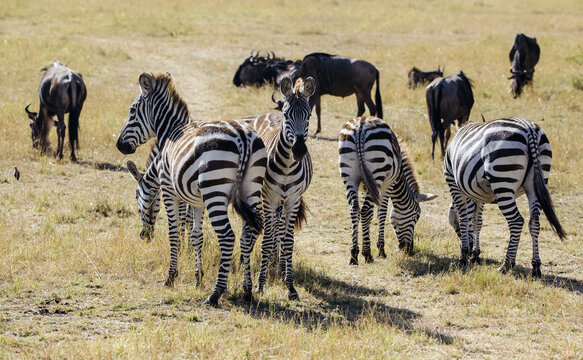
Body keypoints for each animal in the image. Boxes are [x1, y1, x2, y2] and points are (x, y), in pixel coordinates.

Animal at [117, 73, 268, 306]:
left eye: (132, 111)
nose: (119, 145)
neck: (169, 133)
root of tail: (244, 137)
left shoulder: (169, 190)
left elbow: (174, 232)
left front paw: (171, 277)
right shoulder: (197, 201)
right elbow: (197, 235)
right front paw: (198, 278)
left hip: (215, 192)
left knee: (227, 237)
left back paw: (215, 294)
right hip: (251, 190)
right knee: (248, 236)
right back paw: (247, 290)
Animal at [244, 76, 318, 300]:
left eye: (308, 115)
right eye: (287, 115)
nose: (299, 150)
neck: (286, 167)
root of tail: (270, 112)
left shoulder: (293, 201)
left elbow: (288, 242)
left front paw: (290, 286)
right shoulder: (269, 199)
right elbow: (267, 240)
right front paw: (260, 284)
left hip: (283, 202)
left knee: (281, 230)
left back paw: (279, 265)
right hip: (265, 197)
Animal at [338, 116, 438, 264]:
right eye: (417, 216)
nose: (409, 249)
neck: (400, 176)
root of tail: (360, 125)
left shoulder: (366, 187)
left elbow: (368, 213)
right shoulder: (388, 185)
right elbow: (381, 213)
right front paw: (380, 250)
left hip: (349, 177)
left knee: (355, 209)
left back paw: (354, 255)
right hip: (378, 173)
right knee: (365, 210)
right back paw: (368, 254)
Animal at [444, 116, 564, 278]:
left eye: (453, 223)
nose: (469, 250)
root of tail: (529, 129)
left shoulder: (455, 184)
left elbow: (465, 219)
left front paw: (464, 255)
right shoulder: (478, 195)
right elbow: (477, 222)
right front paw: (475, 253)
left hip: (502, 180)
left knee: (516, 221)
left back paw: (506, 265)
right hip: (537, 181)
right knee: (534, 222)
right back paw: (536, 267)